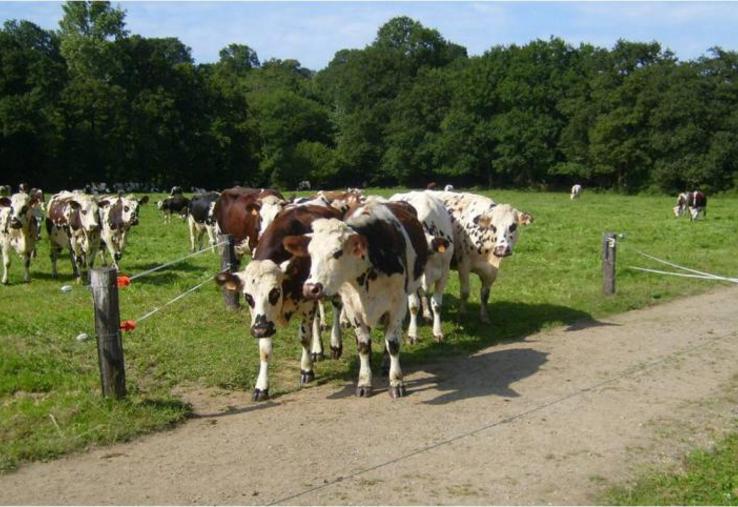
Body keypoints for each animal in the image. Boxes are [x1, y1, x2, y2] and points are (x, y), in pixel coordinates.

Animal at [215, 205, 343, 401]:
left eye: (274, 292)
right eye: (248, 297)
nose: (260, 330)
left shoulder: (306, 304)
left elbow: (304, 338)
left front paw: (306, 370)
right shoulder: (264, 320)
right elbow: (265, 350)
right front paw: (261, 386)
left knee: (336, 307)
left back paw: (335, 344)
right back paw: (317, 350)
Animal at [284, 200, 429, 398]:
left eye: (337, 252)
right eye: (310, 253)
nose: (311, 288)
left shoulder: (398, 304)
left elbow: (393, 343)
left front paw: (396, 382)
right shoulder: (353, 308)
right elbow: (363, 345)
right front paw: (364, 382)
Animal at [390, 191, 454, 343]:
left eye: (429, 252)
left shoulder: (443, 275)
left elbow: (437, 305)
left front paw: (437, 331)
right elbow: (413, 306)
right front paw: (412, 334)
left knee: (424, 293)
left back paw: (427, 314)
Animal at [432, 191, 533, 324]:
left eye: (513, 226)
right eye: (493, 226)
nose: (502, 249)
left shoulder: (492, 271)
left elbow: (485, 294)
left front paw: (484, 316)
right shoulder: (463, 265)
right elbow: (465, 292)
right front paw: (462, 314)